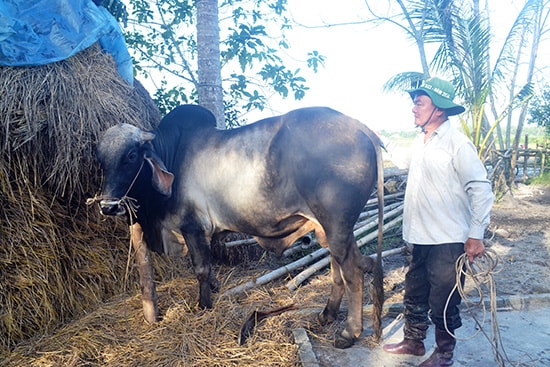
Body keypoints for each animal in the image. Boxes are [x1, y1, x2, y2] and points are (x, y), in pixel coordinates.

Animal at [95, 105, 386, 350]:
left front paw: (203, 306)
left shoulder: (193, 227)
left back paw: (349, 333)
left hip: (337, 226)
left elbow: (201, 269)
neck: (174, 155)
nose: (108, 206)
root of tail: (362, 129)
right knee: (344, 267)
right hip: (330, 229)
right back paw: (327, 315)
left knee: (353, 271)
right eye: (101, 160)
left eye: (131, 155)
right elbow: (209, 268)